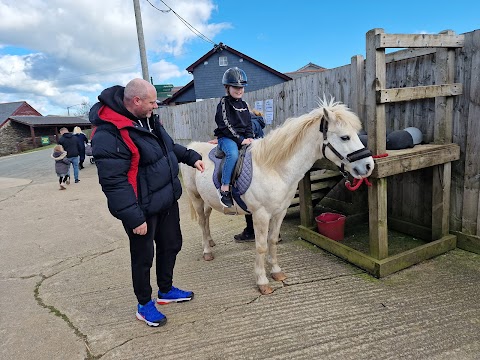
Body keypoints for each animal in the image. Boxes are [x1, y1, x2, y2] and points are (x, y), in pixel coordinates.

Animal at [182, 97, 374, 294]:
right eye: (345, 137)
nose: (368, 166)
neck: (272, 168)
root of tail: (192, 146)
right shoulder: (261, 215)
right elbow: (261, 246)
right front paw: (262, 281)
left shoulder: (279, 212)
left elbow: (272, 241)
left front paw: (275, 271)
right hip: (196, 198)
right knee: (202, 222)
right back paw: (207, 251)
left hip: (208, 200)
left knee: (206, 220)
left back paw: (210, 242)